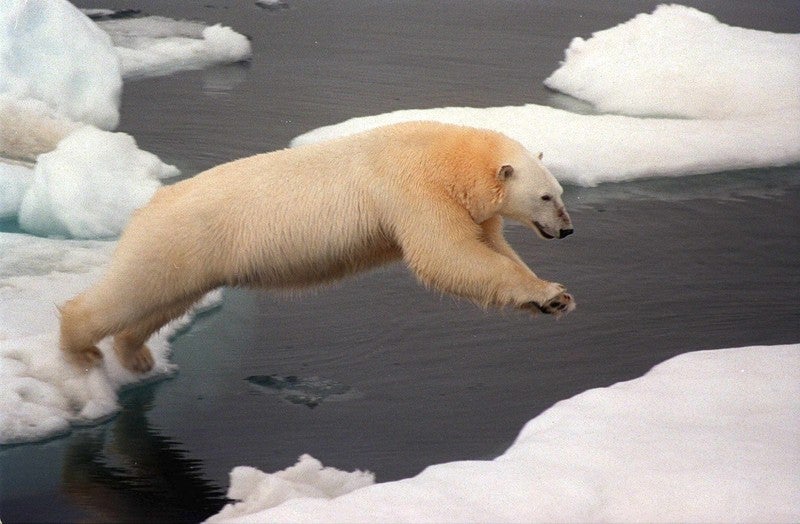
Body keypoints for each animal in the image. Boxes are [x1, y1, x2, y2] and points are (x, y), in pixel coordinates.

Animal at [62, 122, 576, 372]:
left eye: (560, 192)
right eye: (546, 197)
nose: (568, 230)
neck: (450, 157)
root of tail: (145, 207)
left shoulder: (469, 206)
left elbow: (489, 247)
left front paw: (555, 297)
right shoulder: (413, 189)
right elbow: (446, 255)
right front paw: (550, 293)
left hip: (190, 256)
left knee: (163, 301)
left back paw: (135, 353)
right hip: (179, 238)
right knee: (131, 291)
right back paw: (80, 347)